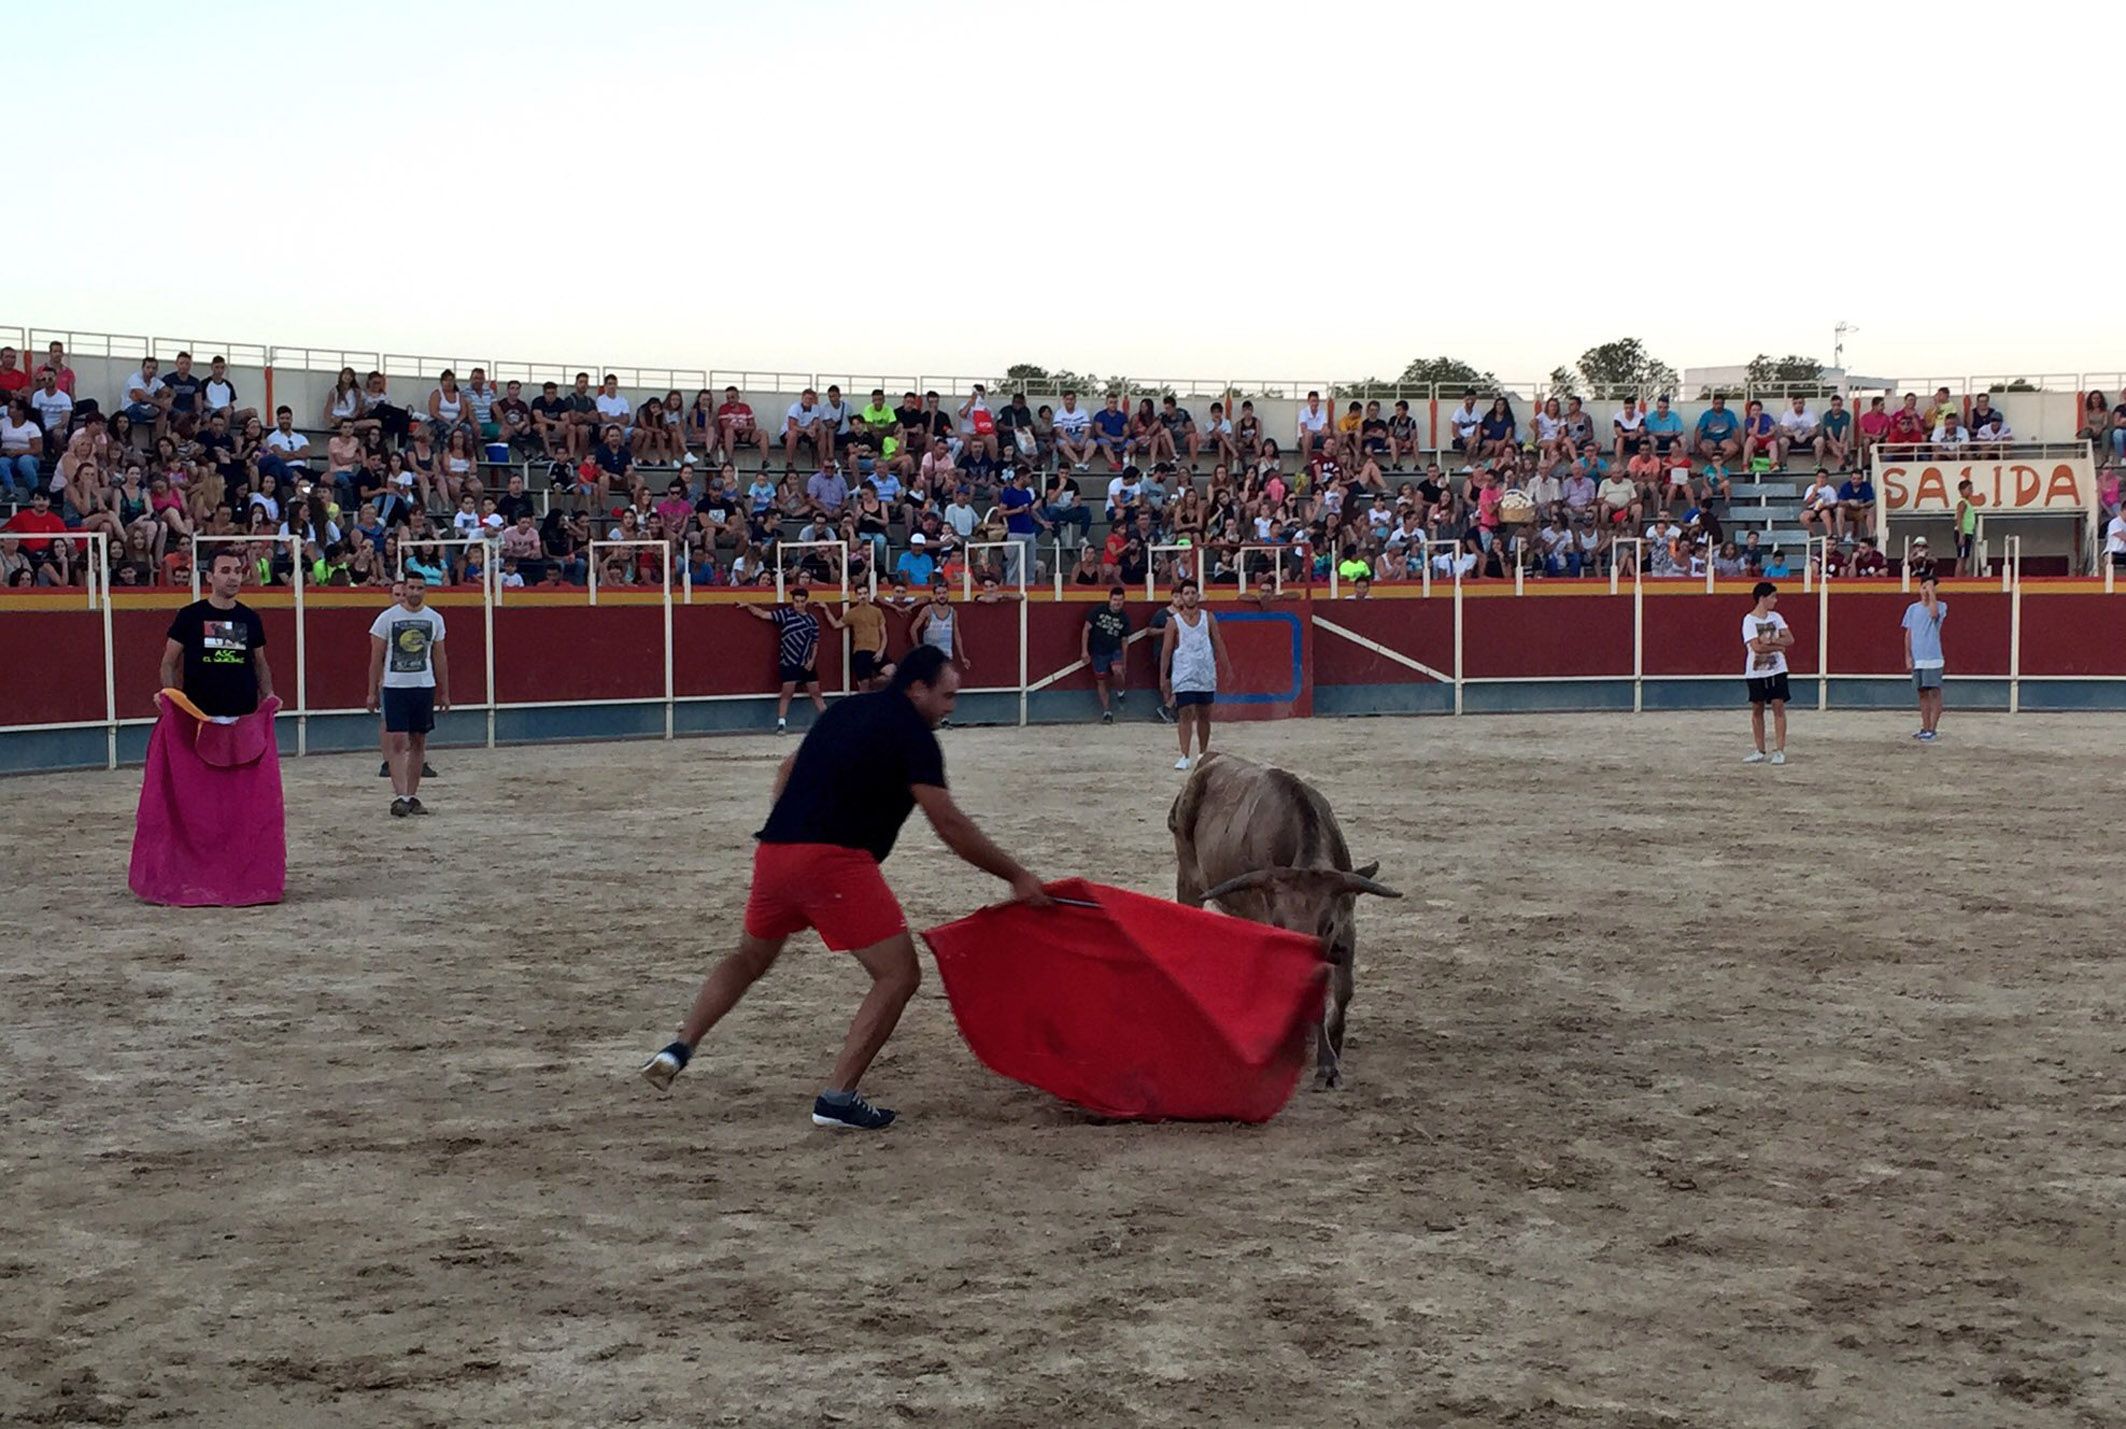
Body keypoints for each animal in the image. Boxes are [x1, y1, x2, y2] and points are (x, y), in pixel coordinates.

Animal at [1165, 748, 1394, 1084]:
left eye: (1328, 924)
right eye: (1280, 924)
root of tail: (1209, 759)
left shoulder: (1347, 926)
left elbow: (1342, 990)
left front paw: (1334, 1042)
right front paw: (1325, 1061)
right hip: (1189, 881)